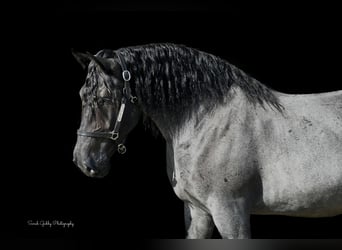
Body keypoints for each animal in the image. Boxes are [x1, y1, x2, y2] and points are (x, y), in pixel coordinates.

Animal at [73, 43, 342, 238]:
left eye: (104, 99)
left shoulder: (230, 213)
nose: (84, 161)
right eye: (82, 95)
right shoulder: (197, 212)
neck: (207, 123)